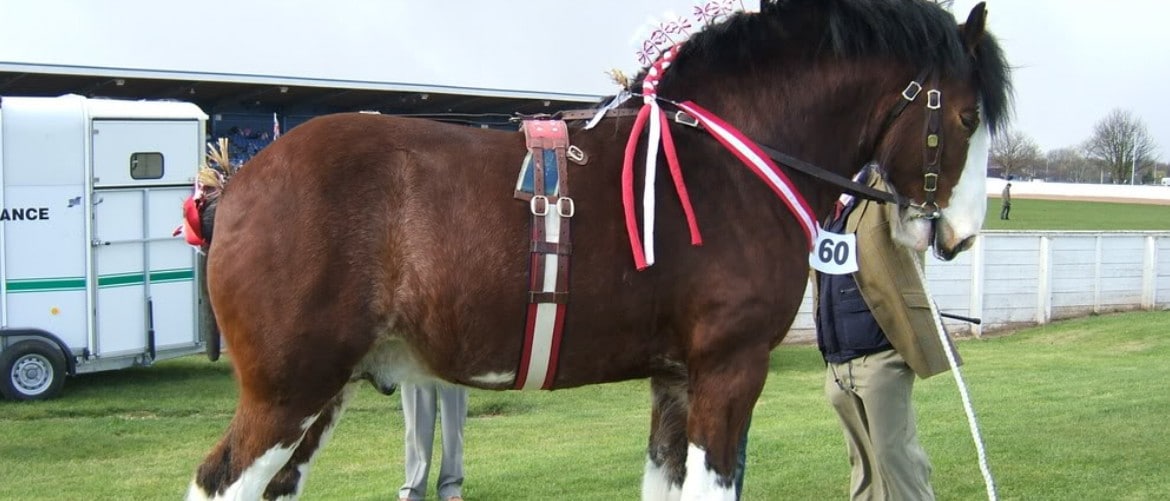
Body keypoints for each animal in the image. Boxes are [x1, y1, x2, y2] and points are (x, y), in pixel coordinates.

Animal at [189, 1, 1006, 498]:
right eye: (968, 115)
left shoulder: (674, 383)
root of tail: (239, 182)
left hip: (320, 396)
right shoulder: (730, 372)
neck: (724, 165)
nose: (960, 234)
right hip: (288, 393)